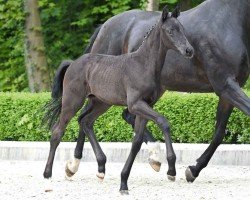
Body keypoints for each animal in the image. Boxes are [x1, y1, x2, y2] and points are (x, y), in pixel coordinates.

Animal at [65, 0, 249, 183]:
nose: (189, 50)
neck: (227, 20)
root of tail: (104, 27)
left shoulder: (229, 91)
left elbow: (218, 134)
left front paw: (193, 170)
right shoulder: (225, 86)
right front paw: (188, 169)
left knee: (117, 116)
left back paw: (153, 158)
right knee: (84, 117)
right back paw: (75, 165)